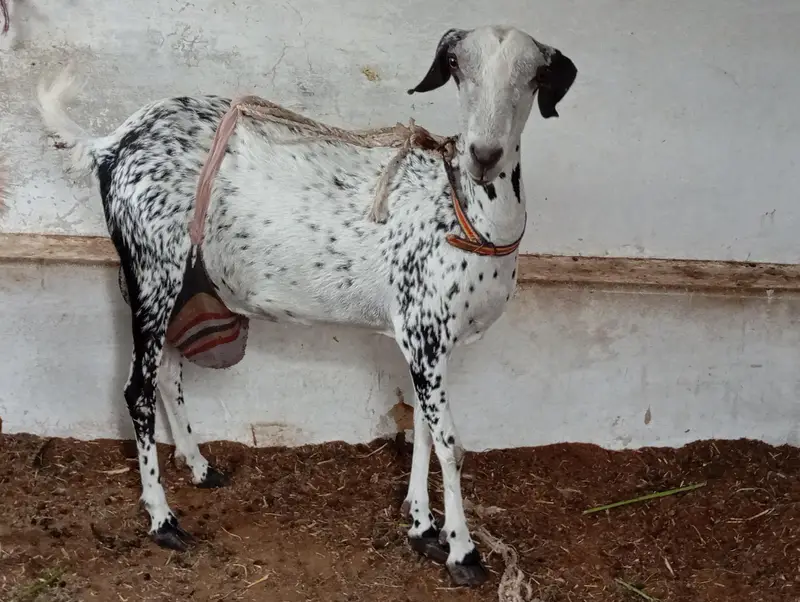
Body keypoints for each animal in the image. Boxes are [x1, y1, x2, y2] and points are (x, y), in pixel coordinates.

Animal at [36, 25, 577, 586]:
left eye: (536, 74)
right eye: (455, 63)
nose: (485, 154)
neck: (464, 214)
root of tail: (110, 144)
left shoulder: (418, 340)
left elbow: (424, 430)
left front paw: (422, 525)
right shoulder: (426, 333)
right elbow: (451, 443)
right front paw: (462, 552)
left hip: (174, 278)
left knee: (166, 372)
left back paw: (200, 466)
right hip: (150, 268)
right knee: (137, 389)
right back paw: (163, 519)